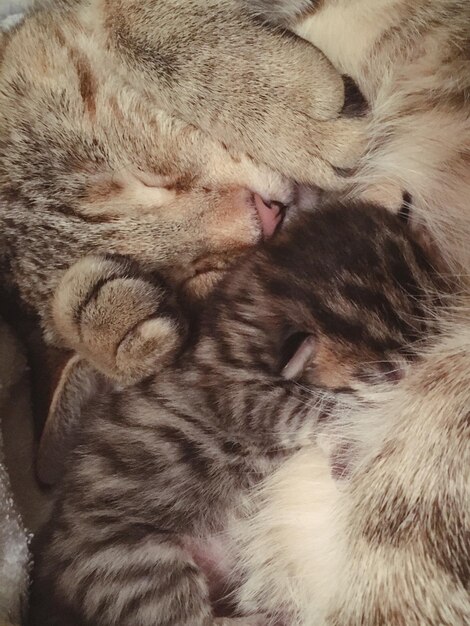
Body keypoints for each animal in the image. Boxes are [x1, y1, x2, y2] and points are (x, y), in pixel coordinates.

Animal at [29, 201, 448, 624]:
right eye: (387, 374)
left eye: (440, 320)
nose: (432, 372)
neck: (239, 318)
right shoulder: (237, 395)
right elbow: (312, 407)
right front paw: (347, 444)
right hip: (135, 562)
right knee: (193, 618)